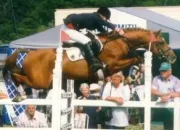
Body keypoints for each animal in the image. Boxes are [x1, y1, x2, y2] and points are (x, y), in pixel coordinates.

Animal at [2, 28, 176, 92]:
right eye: (161, 42)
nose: (173, 58)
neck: (119, 41)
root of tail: (30, 53)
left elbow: (137, 60)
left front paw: (130, 78)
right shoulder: (112, 65)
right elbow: (137, 58)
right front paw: (131, 77)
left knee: (17, 74)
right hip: (41, 81)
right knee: (17, 76)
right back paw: (20, 93)